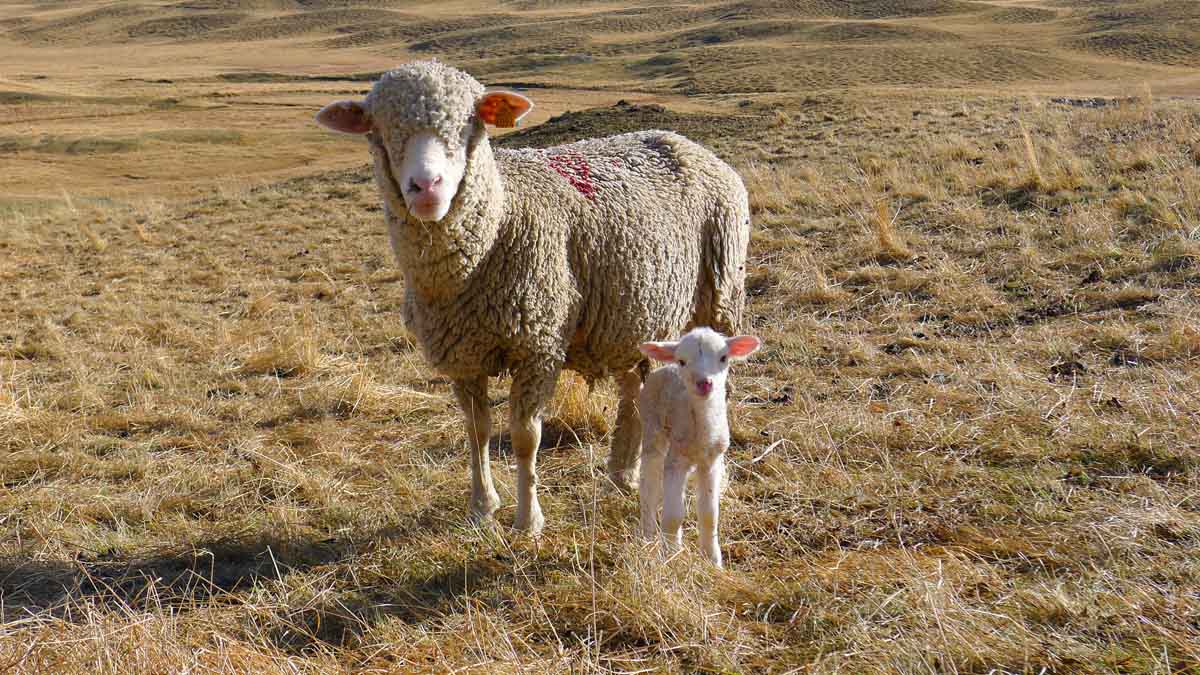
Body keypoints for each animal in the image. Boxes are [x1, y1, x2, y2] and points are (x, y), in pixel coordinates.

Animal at [319, 60, 748, 533]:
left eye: (471, 124)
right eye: (380, 130)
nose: (427, 186)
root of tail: (685, 141)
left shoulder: (537, 344)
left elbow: (525, 437)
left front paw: (528, 519)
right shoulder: (463, 353)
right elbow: (477, 431)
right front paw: (482, 507)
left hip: (721, 294)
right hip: (630, 315)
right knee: (635, 387)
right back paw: (623, 472)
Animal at [638, 324, 758, 562]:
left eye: (723, 357)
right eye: (683, 361)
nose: (704, 383)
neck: (702, 435)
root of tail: (666, 367)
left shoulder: (711, 462)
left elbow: (709, 514)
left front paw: (713, 559)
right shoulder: (676, 460)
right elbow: (673, 515)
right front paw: (671, 557)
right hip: (652, 428)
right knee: (650, 487)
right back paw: (647, 537)